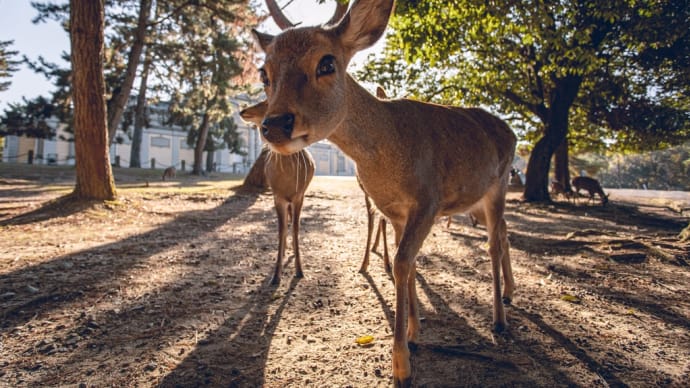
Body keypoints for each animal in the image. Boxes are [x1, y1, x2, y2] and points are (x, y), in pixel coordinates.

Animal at [239, 101, 314, 284]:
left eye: (267, 102)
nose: (242, 111)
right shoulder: (277, 196)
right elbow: (281, 230)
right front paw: (275, 276)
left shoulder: (299, 196)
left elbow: (296, 228)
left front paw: (300, 271)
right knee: (286, 223)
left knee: (292, 223)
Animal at [250, 0, 512, 384]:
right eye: (263, 74)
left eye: (327, 63)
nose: (275, 124)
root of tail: (511, 131)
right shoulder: (393, 209)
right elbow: (410, 264)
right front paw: (415, 333)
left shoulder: (428, 201)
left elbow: (402, 264)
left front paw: (401, 365)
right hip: (481, 198)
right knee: (505, 235)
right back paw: (508, 296)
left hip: (499, 184)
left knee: (493, 244)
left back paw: (499, 320)